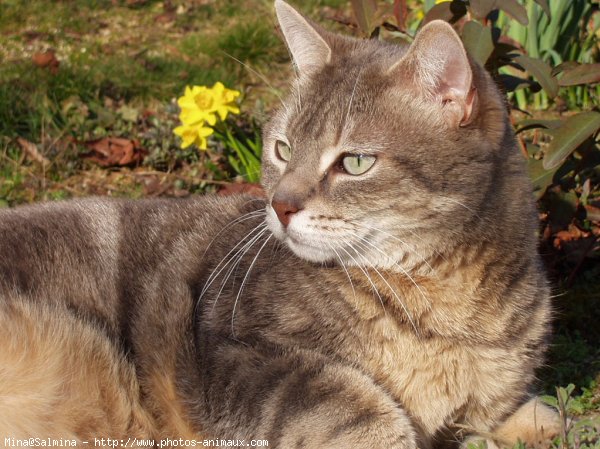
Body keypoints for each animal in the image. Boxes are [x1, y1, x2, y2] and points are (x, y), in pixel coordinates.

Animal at [1, 2, 564, 448]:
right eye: (283, 149)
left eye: (355, 162)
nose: (280, 204)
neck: (450, 314)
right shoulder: (236, 354)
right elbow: (356, 404)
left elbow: (532, 412)